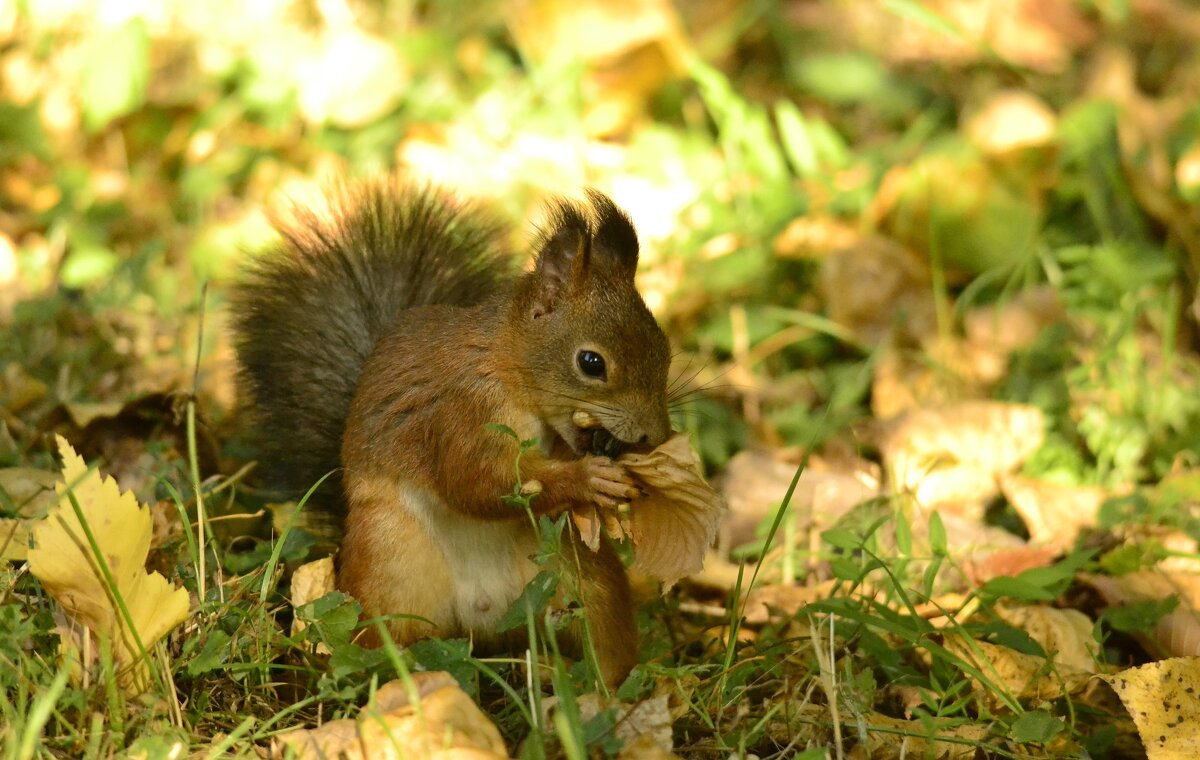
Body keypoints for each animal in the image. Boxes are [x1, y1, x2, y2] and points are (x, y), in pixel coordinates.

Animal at [229, 181, 672, 686]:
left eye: (664, 347)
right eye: (591, 363)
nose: (656, 435)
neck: (505, 366)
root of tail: (487, 617)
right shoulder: (459, 413)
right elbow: (474, 482)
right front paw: (586, 478)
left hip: (577, 572)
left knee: (602, 632)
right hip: (389, 569)